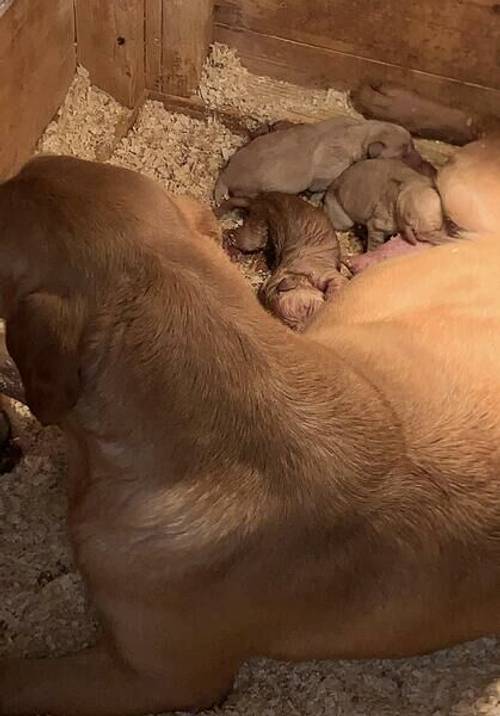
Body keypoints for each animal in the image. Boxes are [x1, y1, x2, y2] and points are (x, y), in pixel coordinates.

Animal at [215, 114, 418, 204]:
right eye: (405, 149)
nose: (414, 146)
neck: (360, 132)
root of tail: (226, 175)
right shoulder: (326, 176)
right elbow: (321, 188)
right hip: (252, 191)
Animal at [232, 193, 346, 332]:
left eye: (307, 308)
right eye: (292, 326)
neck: (296, 272)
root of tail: (257, 200)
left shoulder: (326, 273)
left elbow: (336, 285)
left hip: (256, 231)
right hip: (257, 226)